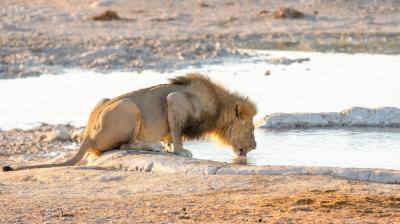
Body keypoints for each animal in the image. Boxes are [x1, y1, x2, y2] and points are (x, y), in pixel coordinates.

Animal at [2, 73, 256, 172]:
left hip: (105, 100)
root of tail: (87, 134)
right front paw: (180, 151)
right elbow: (176, 133)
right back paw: (152, 146)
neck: (218, 107)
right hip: (129, 106)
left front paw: (169, 147)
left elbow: (169, 135)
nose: (254, 146)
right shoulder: (175, 100)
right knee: (124, 145)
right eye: (252, 128)